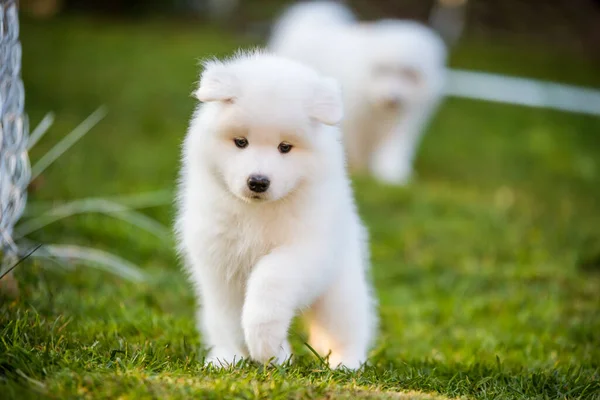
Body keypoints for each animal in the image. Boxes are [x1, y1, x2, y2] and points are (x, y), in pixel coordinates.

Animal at [176, 51, 378, 370]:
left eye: (285, 147)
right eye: (241, 142)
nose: (258, 181)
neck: (257, 213)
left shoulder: (306, 249)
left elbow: (270, 279)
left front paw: (265, 344)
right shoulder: (219, 262)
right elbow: (229, 318)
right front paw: (251, 355)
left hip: (340, 291)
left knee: (348, 327)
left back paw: (347, 363)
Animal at [270, 0, 448, 185]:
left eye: (409, 74)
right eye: (382, 70)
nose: (392, 99)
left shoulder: (404, 119)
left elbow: (394, 146)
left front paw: (393, 174)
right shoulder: (355, 119)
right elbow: (358, 145)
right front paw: (360, 170)